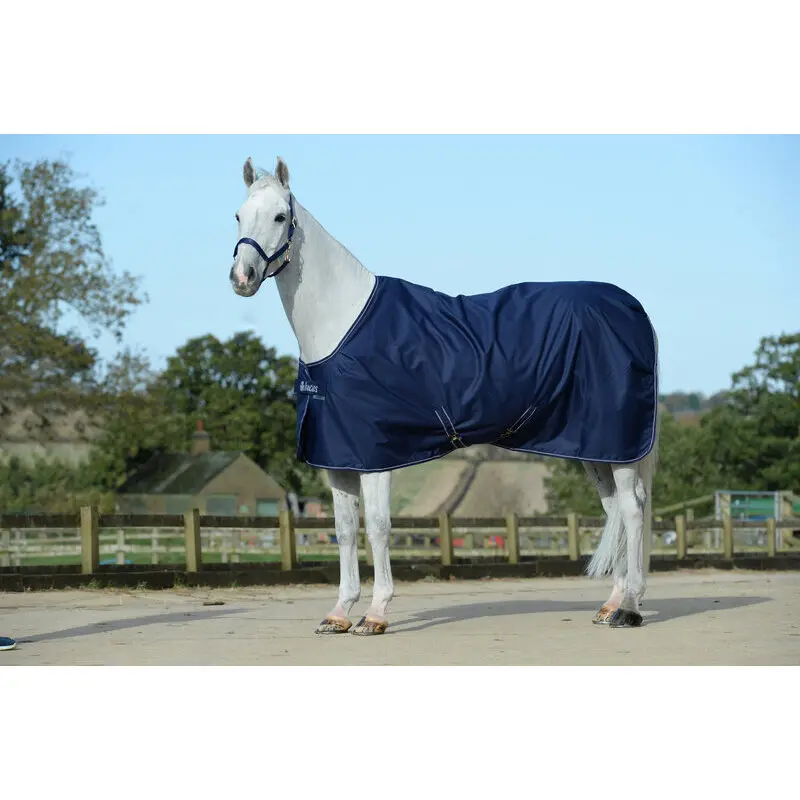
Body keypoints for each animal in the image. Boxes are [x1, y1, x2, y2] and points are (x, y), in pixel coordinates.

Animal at [229, 156, 660, 636]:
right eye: (239, 216)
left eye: (279, 217)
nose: (242, 278)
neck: (342, 323)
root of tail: (633, 309)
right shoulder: (338, 458)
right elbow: (344, 530)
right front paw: (339, 613)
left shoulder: (376, 456)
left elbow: (378, 527)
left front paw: (375, 614)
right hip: (596, 448)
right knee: (614, 510)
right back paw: (610, 605)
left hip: (619, 444)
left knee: (633, 509)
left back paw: (630, 607)